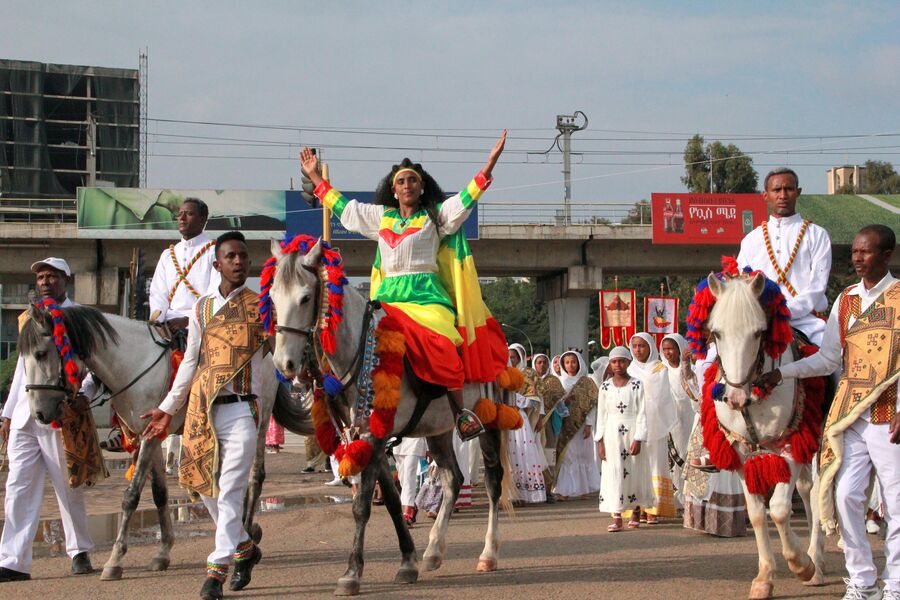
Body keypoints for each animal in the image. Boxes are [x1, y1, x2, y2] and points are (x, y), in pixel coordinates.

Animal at [13, 304, 310, 580]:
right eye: (23, 358)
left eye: (41, 354)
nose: (39, 413)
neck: (132, 363)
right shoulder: (152, 435)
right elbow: (158, 494)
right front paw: (163, 551)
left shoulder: (149, 436)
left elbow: (131, 496)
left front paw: (115, 559)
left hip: (258, 418)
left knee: (254, 476)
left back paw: (247, 534)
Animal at [268, 239, 512, 596]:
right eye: (272, 297)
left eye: (305, 297)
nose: (285, 364)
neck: (359, 350)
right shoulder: (372, 438)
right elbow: (394, 501)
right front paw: (408, 562)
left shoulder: (373, 436)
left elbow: (361, 506)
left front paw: (351, 573)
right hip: (438, 429)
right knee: (452, 478)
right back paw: (433, 551)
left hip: (489, 419)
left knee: (494, 481)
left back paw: (489, 553)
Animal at [704, 272, 824, 600]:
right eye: (716, 333)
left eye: (759, 332)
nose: (734, 397)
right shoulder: (741, 453)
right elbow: (758, 513)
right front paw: (765, 578)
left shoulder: (791, 445)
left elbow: (780, 510)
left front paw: (801, 564)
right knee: (807, 491)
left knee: (818, 492)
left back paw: (815, 561)